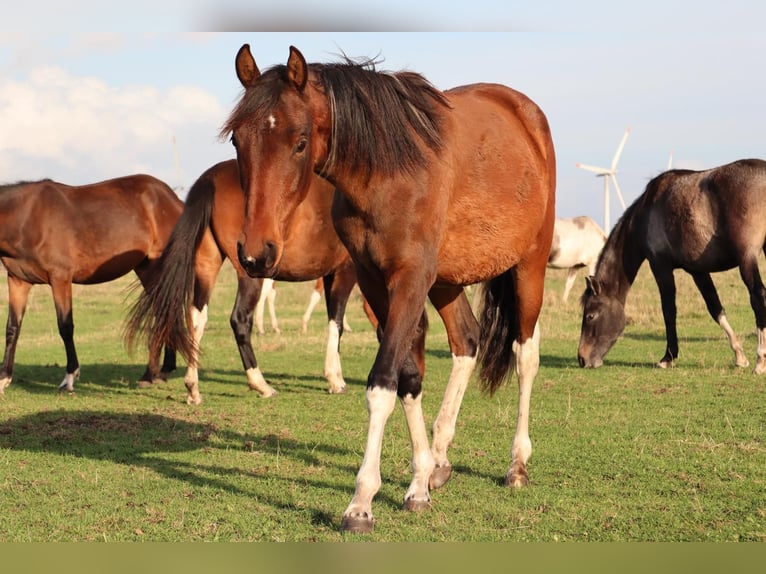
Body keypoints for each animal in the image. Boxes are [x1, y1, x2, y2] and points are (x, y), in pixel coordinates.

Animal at [0, 175, 182, 393]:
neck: (26, 217)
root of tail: (172, 198)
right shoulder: (18, 280)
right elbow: (12, 328)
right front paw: (3, 378)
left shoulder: (60, 278)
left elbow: (65, 326)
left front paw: (69, 378)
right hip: (146, 268)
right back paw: (159, 372)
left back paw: (154, 372)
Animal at [124, 158, 361, 405]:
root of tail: (211, 178)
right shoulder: (346, 272)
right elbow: (336, 323)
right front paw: (335, 380)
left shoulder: (331, 274)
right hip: (248, 274)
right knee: (239, 319)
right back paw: (261, 384)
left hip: (207, 265)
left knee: (196, 318)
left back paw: (193, 388)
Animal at [223, 45, 556, 534]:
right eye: (237, 140)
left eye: (300, 141)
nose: (254, 252)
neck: (387, 174)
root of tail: (524, 112)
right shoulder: (375, 281)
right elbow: (409, 378)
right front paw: (418, 483)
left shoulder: (410, 279)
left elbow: (382, 384)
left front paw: (361, 503)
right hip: (446, 281)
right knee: (466, 341)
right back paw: (440, 459)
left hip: (528, 267)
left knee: (525, 356)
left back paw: (517, 464)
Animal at [578, 158, 766, 372]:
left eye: (590, 316)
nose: (581, 359)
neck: (646, 214)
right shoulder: (698, 271)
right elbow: (715, 307)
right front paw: (739, 355)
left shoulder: (661, 267)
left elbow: (668, 311)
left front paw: (668, 357)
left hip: (746, 258)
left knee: (758, 296)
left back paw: (760, 360)